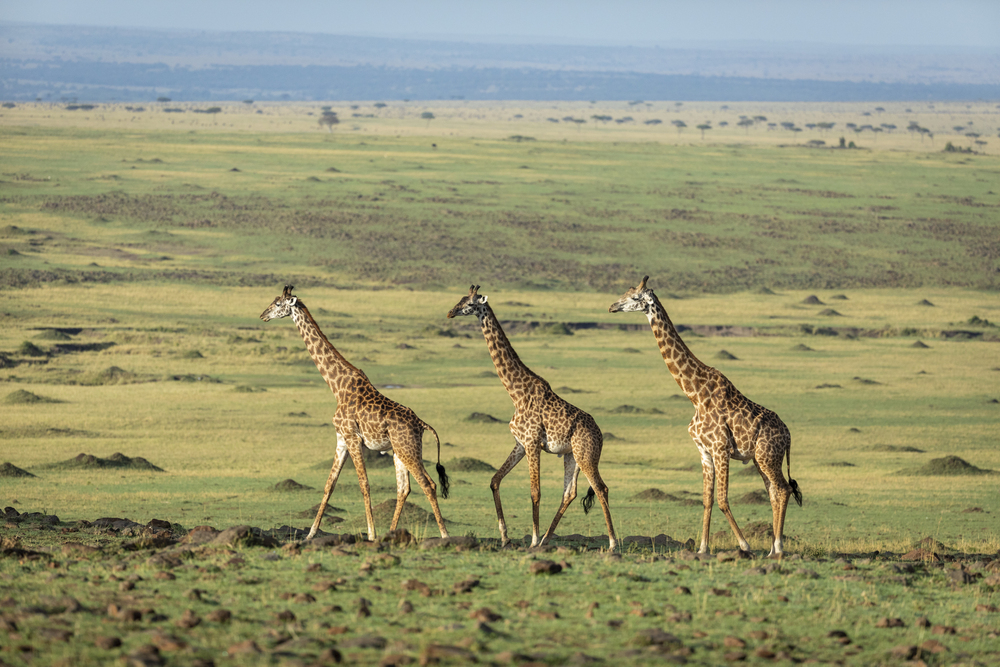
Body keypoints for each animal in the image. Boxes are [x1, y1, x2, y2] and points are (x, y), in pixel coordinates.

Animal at [260, 285, 450, 541]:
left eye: (279, 304)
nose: (263, 315)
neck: (336, 386)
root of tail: (421, 424)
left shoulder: (352, 437)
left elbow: (364, 484)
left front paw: (371, 534)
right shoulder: (341, 438)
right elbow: (329, 484)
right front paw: (310, 534)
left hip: (407, 448)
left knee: (428, 484)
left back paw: (444, 535)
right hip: (399, 451)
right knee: (404, 488)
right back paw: (392, 533)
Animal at [447, 285, 617, 550]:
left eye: (470, 303)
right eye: (461, 299)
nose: (450, 312)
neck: (516, 393)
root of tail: (600, 434)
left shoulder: (532, 442)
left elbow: (535, 491)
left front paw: (533, 540)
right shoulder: (519, 443)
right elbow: (495, 480)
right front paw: (506, 537)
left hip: (586, 453)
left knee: (601, 487)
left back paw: (610, 543)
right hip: (571, 455)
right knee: (570, 492)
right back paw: (548, 538)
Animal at [609, 276, 801, 558]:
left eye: (634, 297)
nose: (612, 306)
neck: (695, 394)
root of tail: (788, 435)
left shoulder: (721, 448)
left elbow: (722, 500)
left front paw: (744, 545)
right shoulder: (704, 451)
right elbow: (707, 500)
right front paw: (702, 548)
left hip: (768, 456)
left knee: (783, 489)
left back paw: (777, 549)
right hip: (761, 458)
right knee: (775, 492)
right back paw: (772, 549)